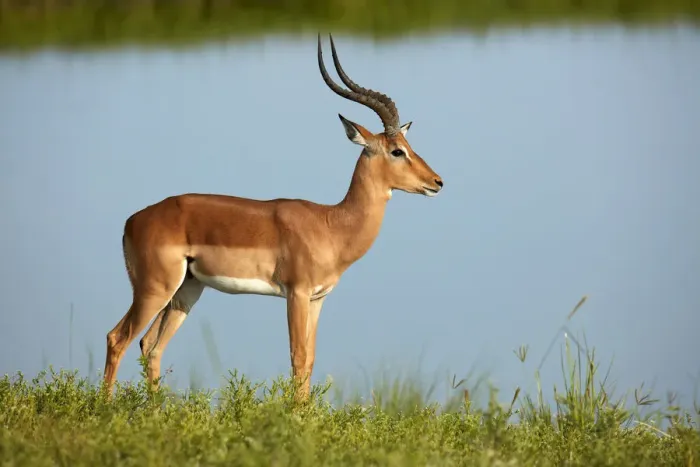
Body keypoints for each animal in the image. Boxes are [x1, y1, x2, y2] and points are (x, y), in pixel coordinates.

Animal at [103, 34, 444, 399]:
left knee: (150, 345)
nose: (437, 182)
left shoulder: (318, 299)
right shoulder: (295, 293)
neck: (332, 225)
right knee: (118, 338)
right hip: (154, 288)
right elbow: (298, 356)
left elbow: (310, 360)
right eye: (397, 150)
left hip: (186, 291)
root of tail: (132, 220)